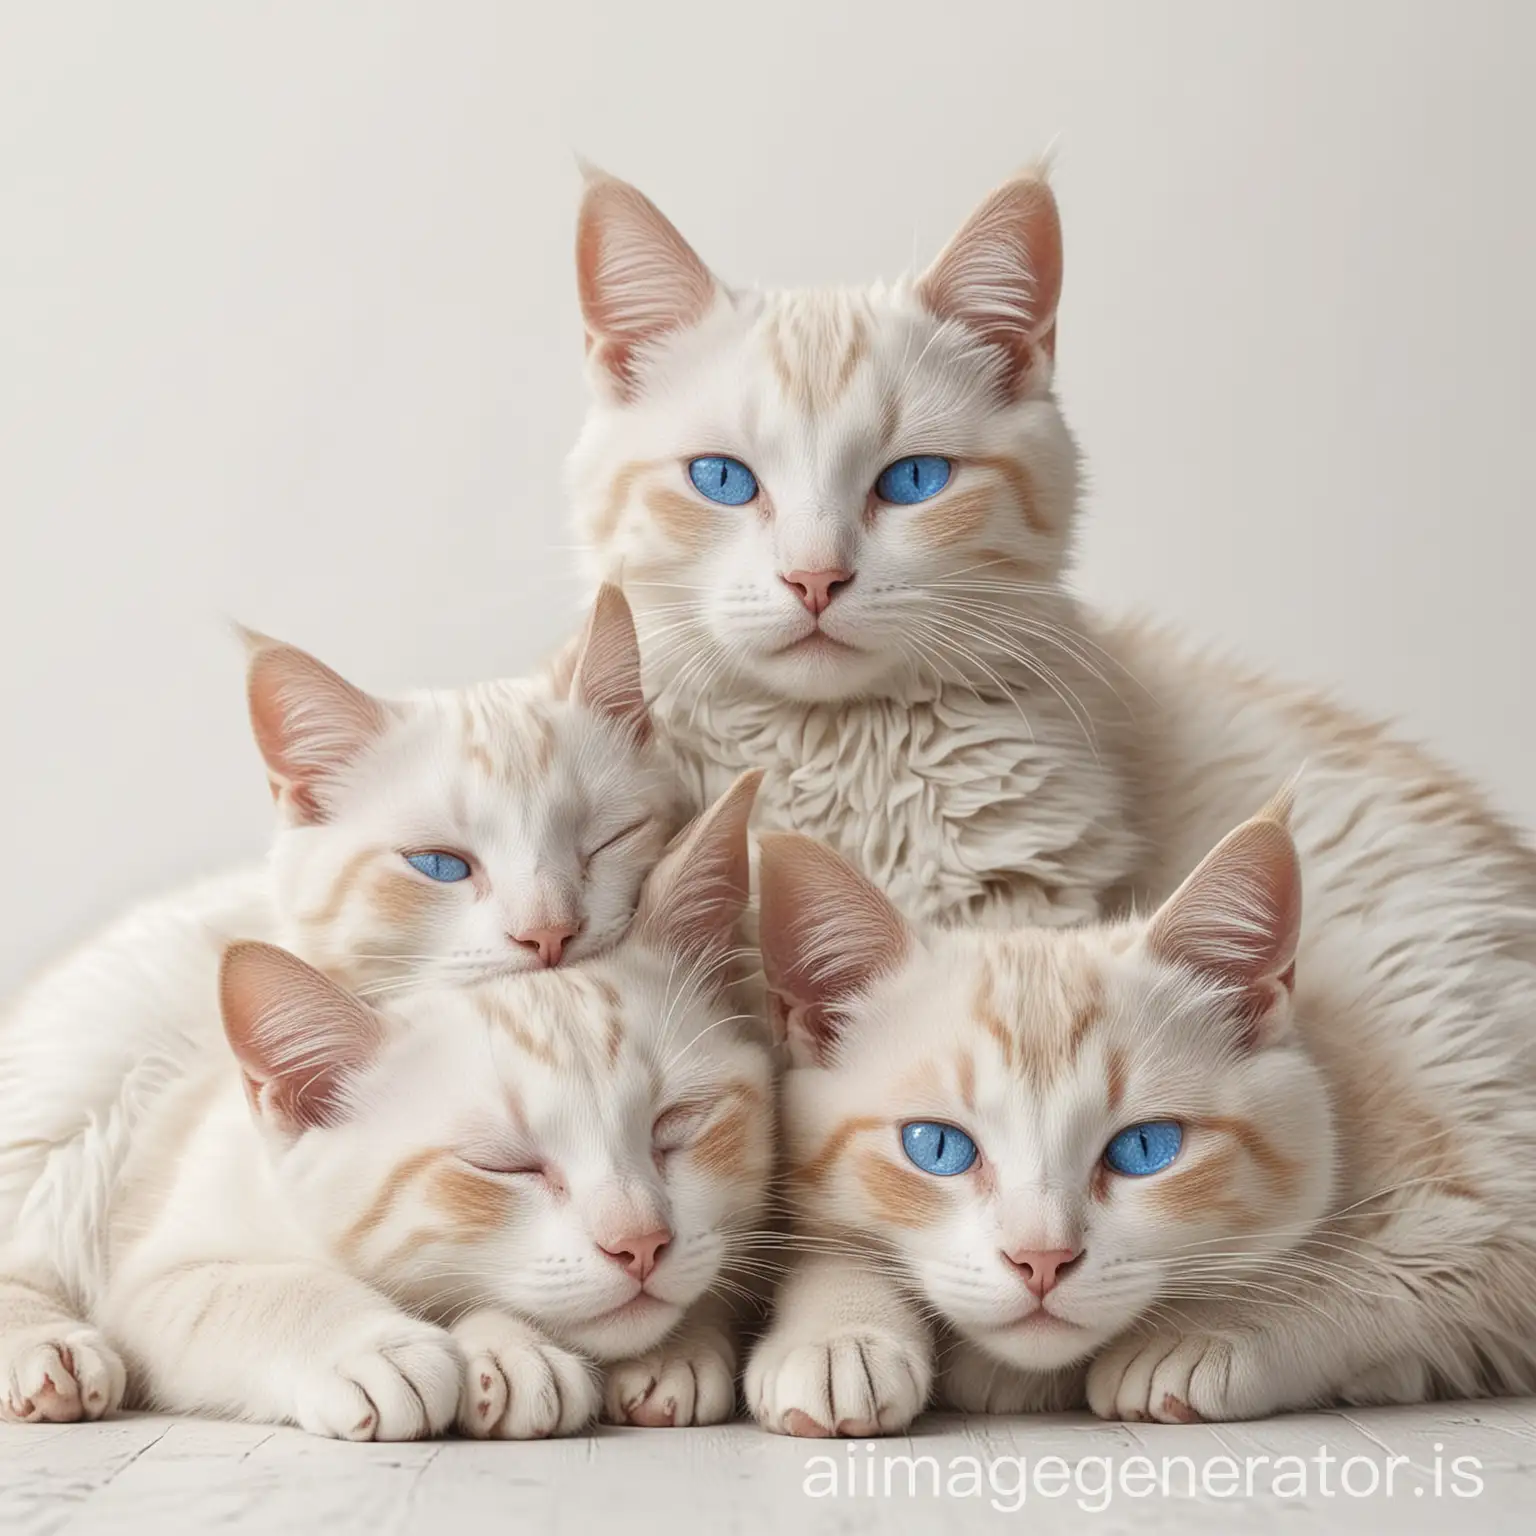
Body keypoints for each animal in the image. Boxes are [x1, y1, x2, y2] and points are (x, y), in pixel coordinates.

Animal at [0, 774, 768, 1431]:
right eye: (503, 1166)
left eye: (678, 1125)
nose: (641, 1243)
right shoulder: (162, 1269)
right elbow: (258, 1290)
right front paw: (379, 1347)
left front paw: (664, 1345)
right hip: (82, 1104)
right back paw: (46, 1348)